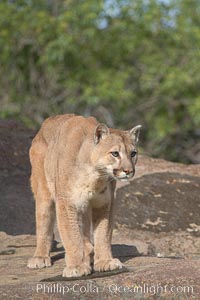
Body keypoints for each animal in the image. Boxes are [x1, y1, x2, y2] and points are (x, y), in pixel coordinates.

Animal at [27, 113, 141, 278]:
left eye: (133, 153)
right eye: (115, 154)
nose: (128, 171)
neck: (95, 175)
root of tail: (48, 120)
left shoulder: (104, 204)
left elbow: (103, 235)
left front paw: (105, 262)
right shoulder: (66, 204)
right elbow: (71, 236)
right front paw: (77, 266)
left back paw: (89, 250)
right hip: (43, 191)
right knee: (44, 222)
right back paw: (40, 257)